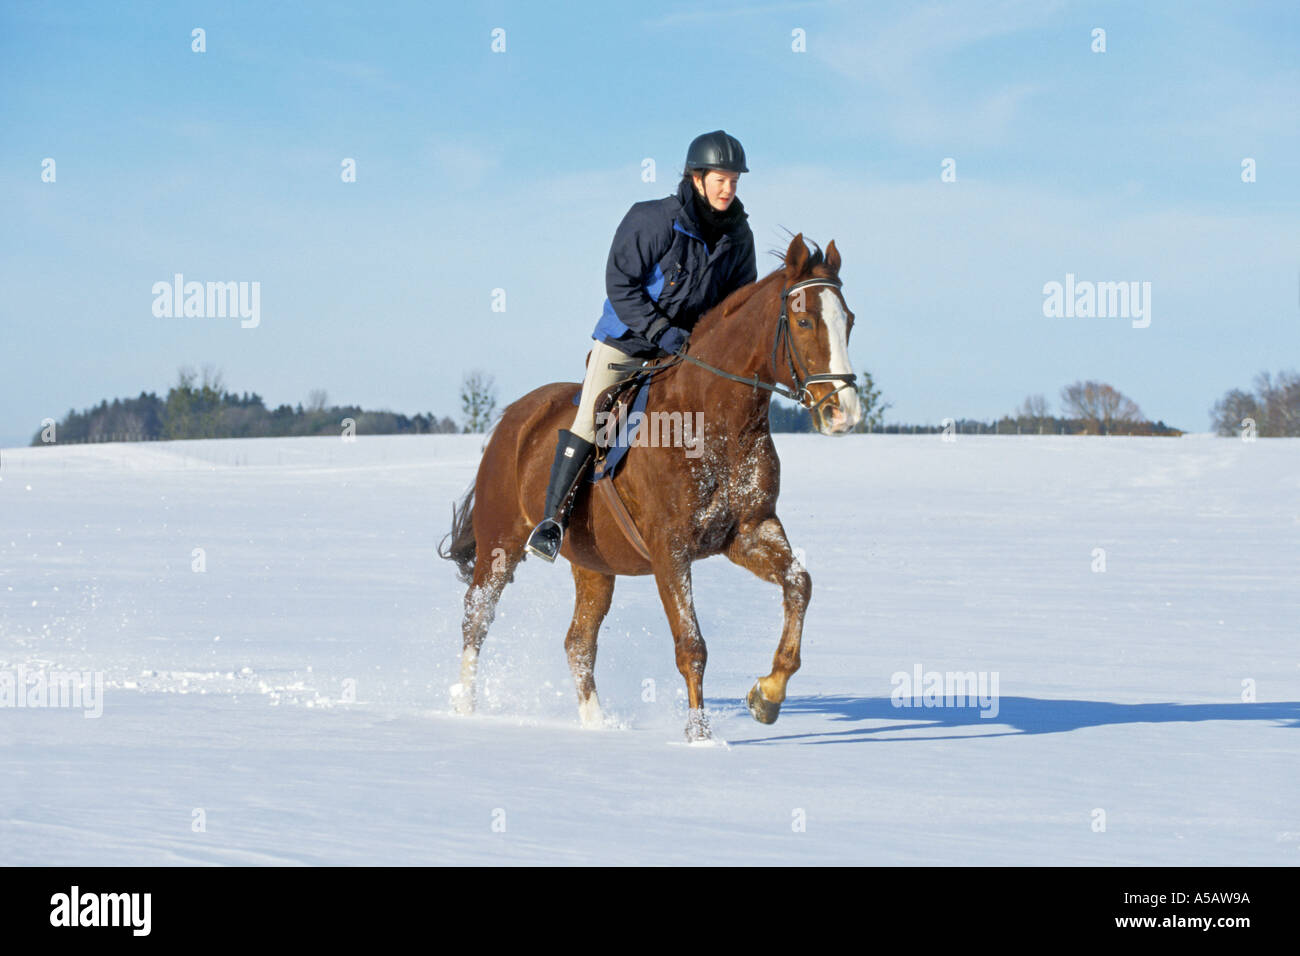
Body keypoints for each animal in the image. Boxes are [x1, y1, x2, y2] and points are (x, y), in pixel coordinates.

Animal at [438, 233, 864, 741]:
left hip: (593, 563)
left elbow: (799, 584)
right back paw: (465, 710)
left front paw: (767, 695)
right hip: (501, 544)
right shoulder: (669, 548)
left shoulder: (749, 531)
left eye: (849, 321)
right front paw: (699, 738)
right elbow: (691, 644)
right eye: (803, 321)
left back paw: (597, 725)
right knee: (477, 617)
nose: (844, 413)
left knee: (578, 642)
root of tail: (513, 417)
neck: (716, 423)